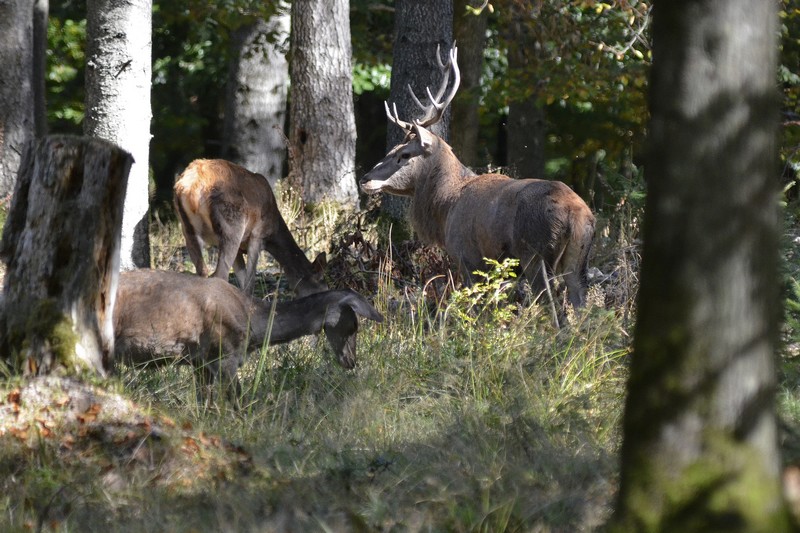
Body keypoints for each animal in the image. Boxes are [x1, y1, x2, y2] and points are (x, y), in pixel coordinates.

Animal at [112, 270, 384, 404]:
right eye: (353, 325)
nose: (351, 361)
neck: (254, 326)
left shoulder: (200, 361)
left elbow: (204, 402)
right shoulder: (224, 354)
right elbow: (238, 401)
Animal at [173, 158, 326, 296]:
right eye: (322, 283)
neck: (274, 229)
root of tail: (191, 187)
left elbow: (242, 278)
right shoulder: (257, 235)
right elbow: (249, 282)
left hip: (188, 231)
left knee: (202, 272)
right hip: (232, 227)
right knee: (219, 275)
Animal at [360, 48, 592, 312]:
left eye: (404, 154)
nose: (365, 179)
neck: (446, 205)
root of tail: (576, 214)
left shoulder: (467, 257)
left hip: (536, 254)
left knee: (554, 308)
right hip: (579, 259)